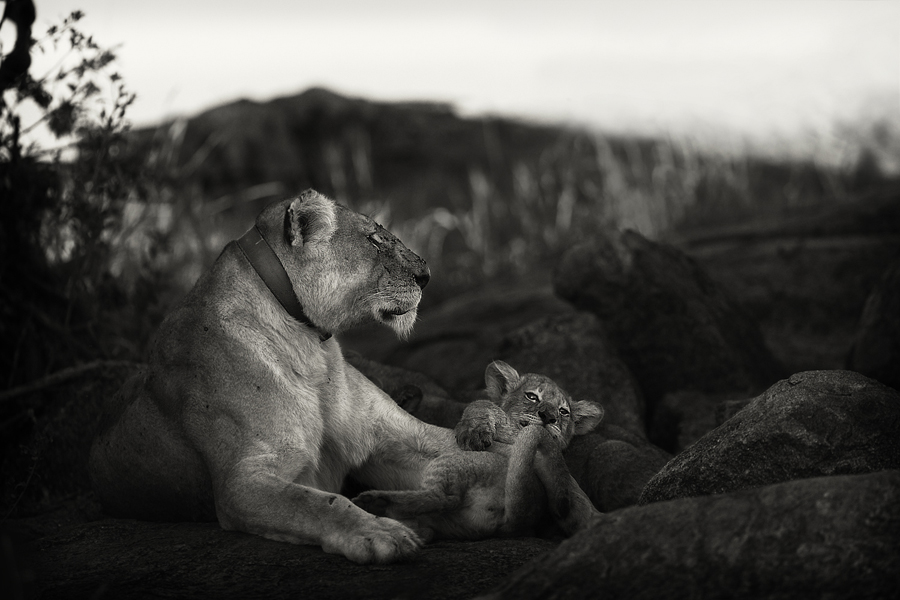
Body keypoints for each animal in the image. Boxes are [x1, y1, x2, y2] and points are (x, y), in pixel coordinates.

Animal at [88, 190, 459, 564]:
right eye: (373, 239)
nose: (427, 275)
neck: (309, 349)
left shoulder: (395, 436)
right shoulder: (242, 482)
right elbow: (318, 503)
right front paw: (379, 533)